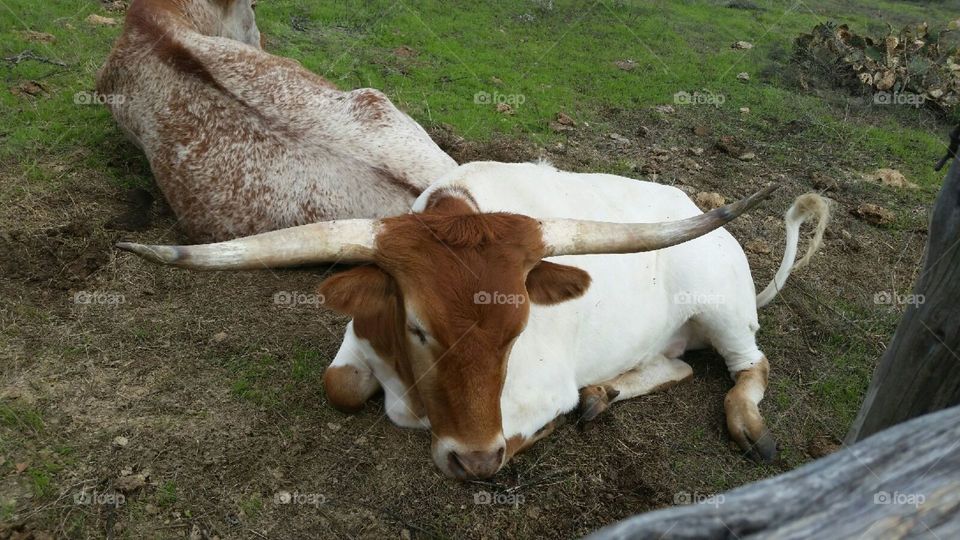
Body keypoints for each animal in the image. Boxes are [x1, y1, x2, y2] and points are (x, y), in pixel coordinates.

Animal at [116, 161, 830, 480]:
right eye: (418, 328)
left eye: (517, 333)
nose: (475, 461)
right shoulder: (359, 338)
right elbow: (340, 385)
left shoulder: (536, 392)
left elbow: (516, 432)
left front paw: (525, 438)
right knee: (677, 365)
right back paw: (604, 393)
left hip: (722, 307)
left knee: (750, 367)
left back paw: (748, 426)